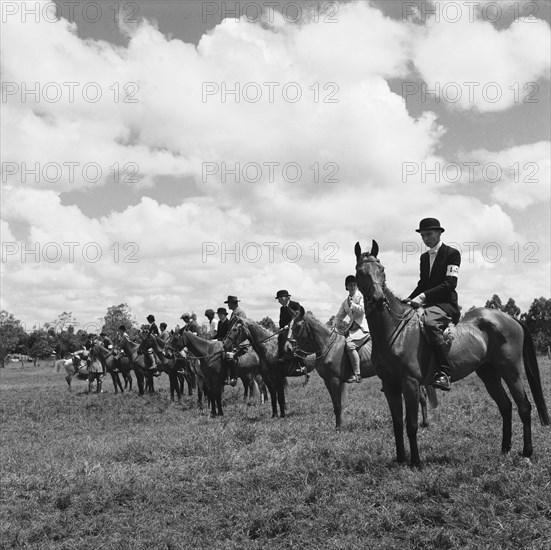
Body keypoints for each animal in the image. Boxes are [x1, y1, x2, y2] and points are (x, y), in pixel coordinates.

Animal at [284, 306, 436, 432]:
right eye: (288, 326)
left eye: (297, 326)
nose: (288, 348)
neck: (328, 346)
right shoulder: (328, 381)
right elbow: (335, 404)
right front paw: (338, 426)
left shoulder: (335, 380)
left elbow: (338, 405)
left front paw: (339, 428)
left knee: (420, 397)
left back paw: (424, 423)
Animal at [356, 240, 548, 466]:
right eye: (360, 272)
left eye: (382, 269)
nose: (378, 300)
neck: (395, 330)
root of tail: (509, 318)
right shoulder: (390, 385)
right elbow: (396, 424)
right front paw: (401, 459)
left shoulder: (410, 383)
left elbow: (411, 424)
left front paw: (416, 462)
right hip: (489, 373)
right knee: (506, 406)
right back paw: (505, 449)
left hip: (511, 371)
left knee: (524, 406)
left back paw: (526, 452)